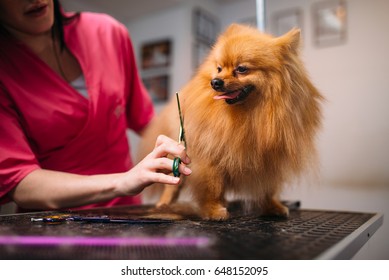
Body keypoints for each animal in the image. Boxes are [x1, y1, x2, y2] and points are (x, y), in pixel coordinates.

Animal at [136, 24, 322, 221]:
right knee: (173, 185)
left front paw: (272, 206)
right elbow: (213, 186)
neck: (251, 114)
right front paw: (213, 210)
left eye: (241, 69)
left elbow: (268, 187)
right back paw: (164, 204)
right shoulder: (210, 156)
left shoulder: (269, 158)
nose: (215, 82)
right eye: (219, 68)